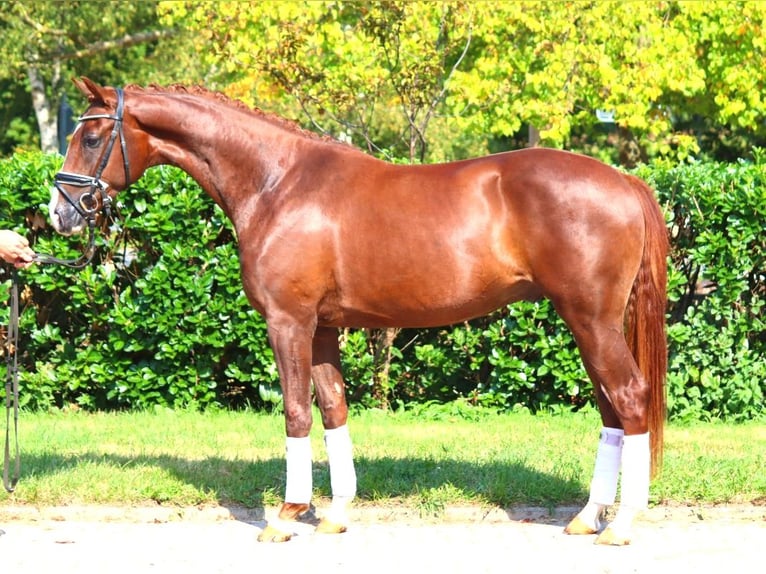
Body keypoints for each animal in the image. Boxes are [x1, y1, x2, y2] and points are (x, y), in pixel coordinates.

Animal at [51, 79, 668, 548]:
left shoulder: (289, 322)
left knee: (630, 397)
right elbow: (333, 408)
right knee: (612, 411)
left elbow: (295, 412)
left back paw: (622, 525)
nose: (60, 212)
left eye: (93, 135)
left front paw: (286, 515)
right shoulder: (323, 328)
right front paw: (336, 514)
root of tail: (623, 180)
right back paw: (587, 518)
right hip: (586, 324)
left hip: (591, 322)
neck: (276, 183)